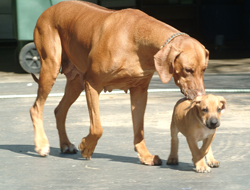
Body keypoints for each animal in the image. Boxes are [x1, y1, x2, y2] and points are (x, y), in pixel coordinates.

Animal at [29, 0, 209, 166]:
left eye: (204, 69)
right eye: (188, 70)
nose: (201, 96)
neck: (137, 40)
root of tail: (49, 9)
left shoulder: (139, 92)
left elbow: (139, 130)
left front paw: (145, 155)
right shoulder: (92, 83)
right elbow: (97, 128)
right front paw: (87, 147)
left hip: (75, 82)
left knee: (59, 111)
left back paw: (65, 144)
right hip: (50, 65)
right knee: (36, 108)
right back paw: (42, 144)